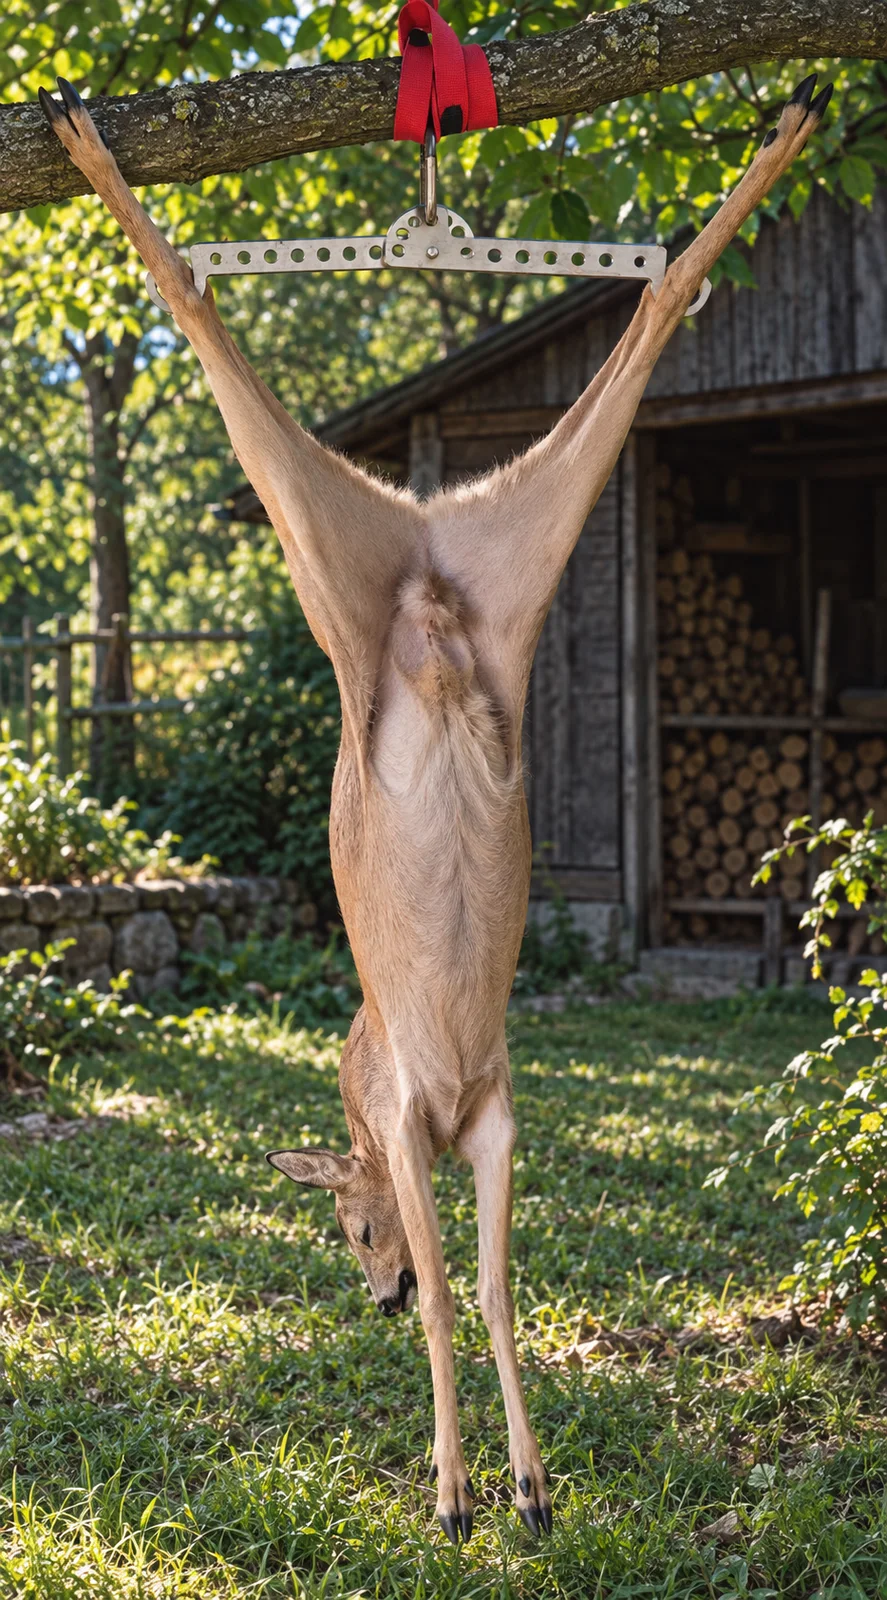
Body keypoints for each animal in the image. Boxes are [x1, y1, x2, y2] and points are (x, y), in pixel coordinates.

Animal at [38, 69, 831, 1543]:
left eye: (350, 1226)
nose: (372, 1287)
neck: (409, 1097)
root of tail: (421, 560)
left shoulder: (439, 1114)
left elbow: (479, 1295)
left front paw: (474, 1489)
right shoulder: (488, 1106)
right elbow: (502, 1287)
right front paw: (512, 1483)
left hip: (342, 562)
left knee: (216, 327)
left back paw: (86, 141)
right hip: (503, 558)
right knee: (640, 323)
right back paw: (787, 125)